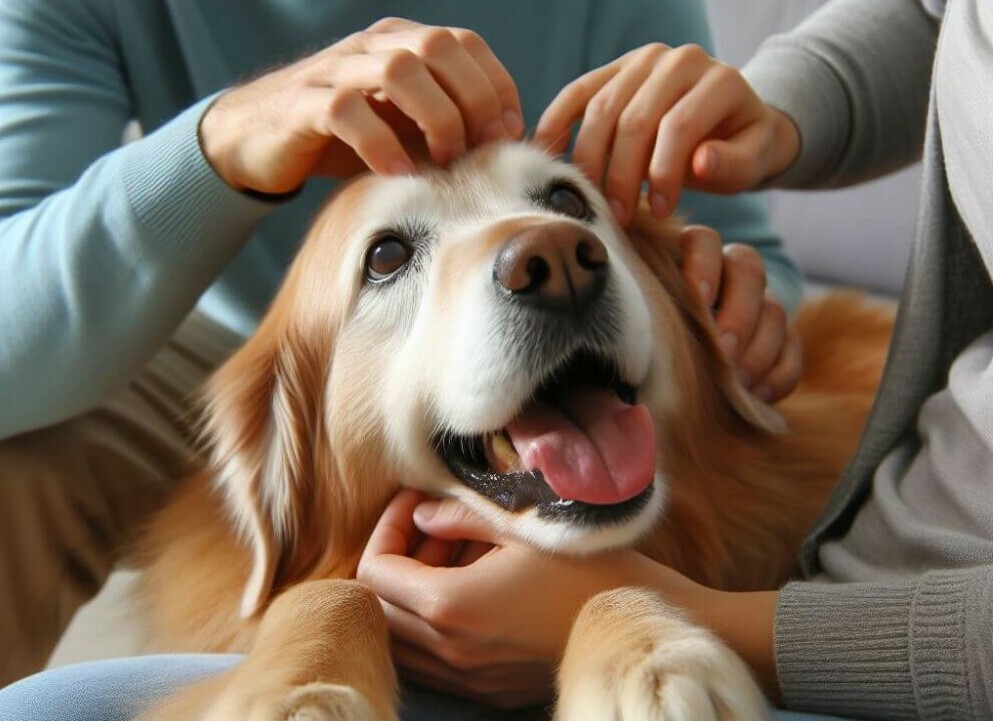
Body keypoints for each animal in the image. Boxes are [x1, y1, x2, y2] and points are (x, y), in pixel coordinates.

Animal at [134, 142, 892, 720]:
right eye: (385, 256)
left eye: (568, 201)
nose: (555, 258)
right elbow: (328, 589)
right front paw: (298, 694)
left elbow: (599, 578)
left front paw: (650, 664)